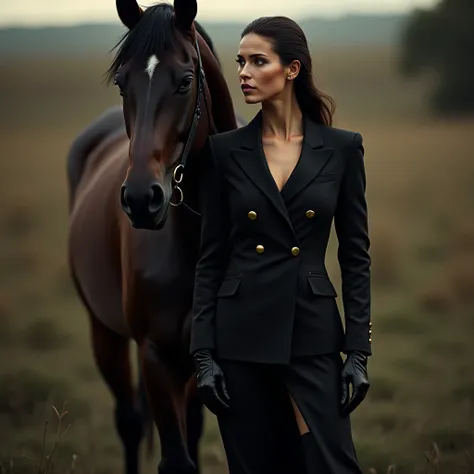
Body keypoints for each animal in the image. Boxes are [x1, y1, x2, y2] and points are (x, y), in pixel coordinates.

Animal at [66, 1, 243, 472]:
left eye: (184, 81)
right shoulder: (156, 357)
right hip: (104, 333)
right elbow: (175, 458)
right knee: (129, 421)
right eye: (121, 82)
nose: (142, 199)